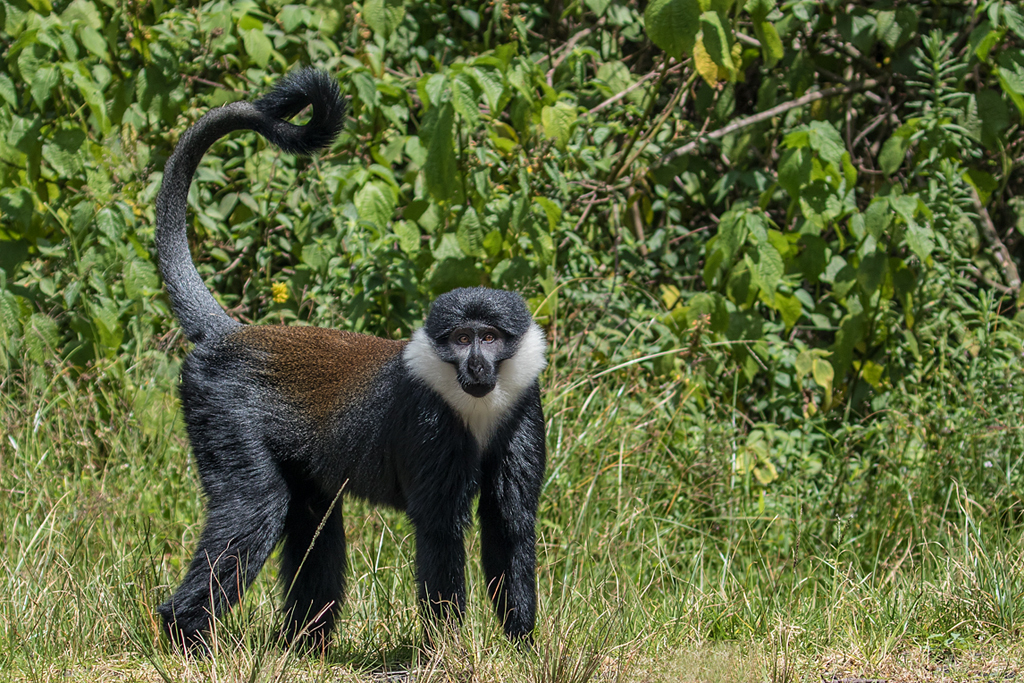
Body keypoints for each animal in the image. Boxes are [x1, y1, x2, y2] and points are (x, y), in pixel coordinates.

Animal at [153, 69, 547, 652]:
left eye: (491, 338)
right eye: (460, 339)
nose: (476, 367)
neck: (472, 403)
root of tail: (233, 334)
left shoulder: (523, 407)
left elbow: (511, 524)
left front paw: (522, 646)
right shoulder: (429, 424)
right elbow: (440, 530)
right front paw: (447, 652)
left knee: (312, 514)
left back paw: (301, 642)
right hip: (220, 412)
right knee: (255, 504)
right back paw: (186, 634)